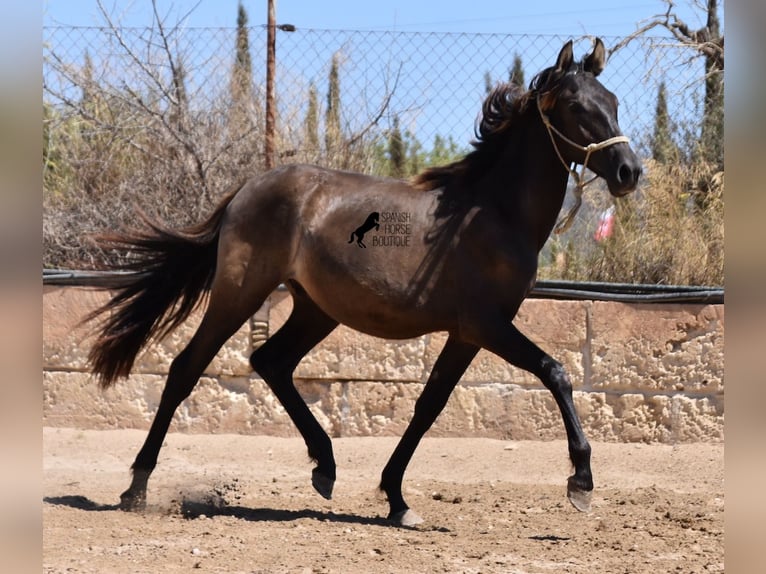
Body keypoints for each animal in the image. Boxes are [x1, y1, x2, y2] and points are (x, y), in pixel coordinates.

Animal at [87, 39, 644, 528]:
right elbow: (556, 373)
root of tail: (248, 188)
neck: (493, 214)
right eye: (575, 105)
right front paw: (581, 482)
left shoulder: (467, 334)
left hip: (316, 309)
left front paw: (397, 500)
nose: (628, 170)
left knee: (271, 362)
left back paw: (325, 468)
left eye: (614, 103)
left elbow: (429, 406)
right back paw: (136, 488)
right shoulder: (487, 325)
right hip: (239, 292)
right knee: (187, 368)